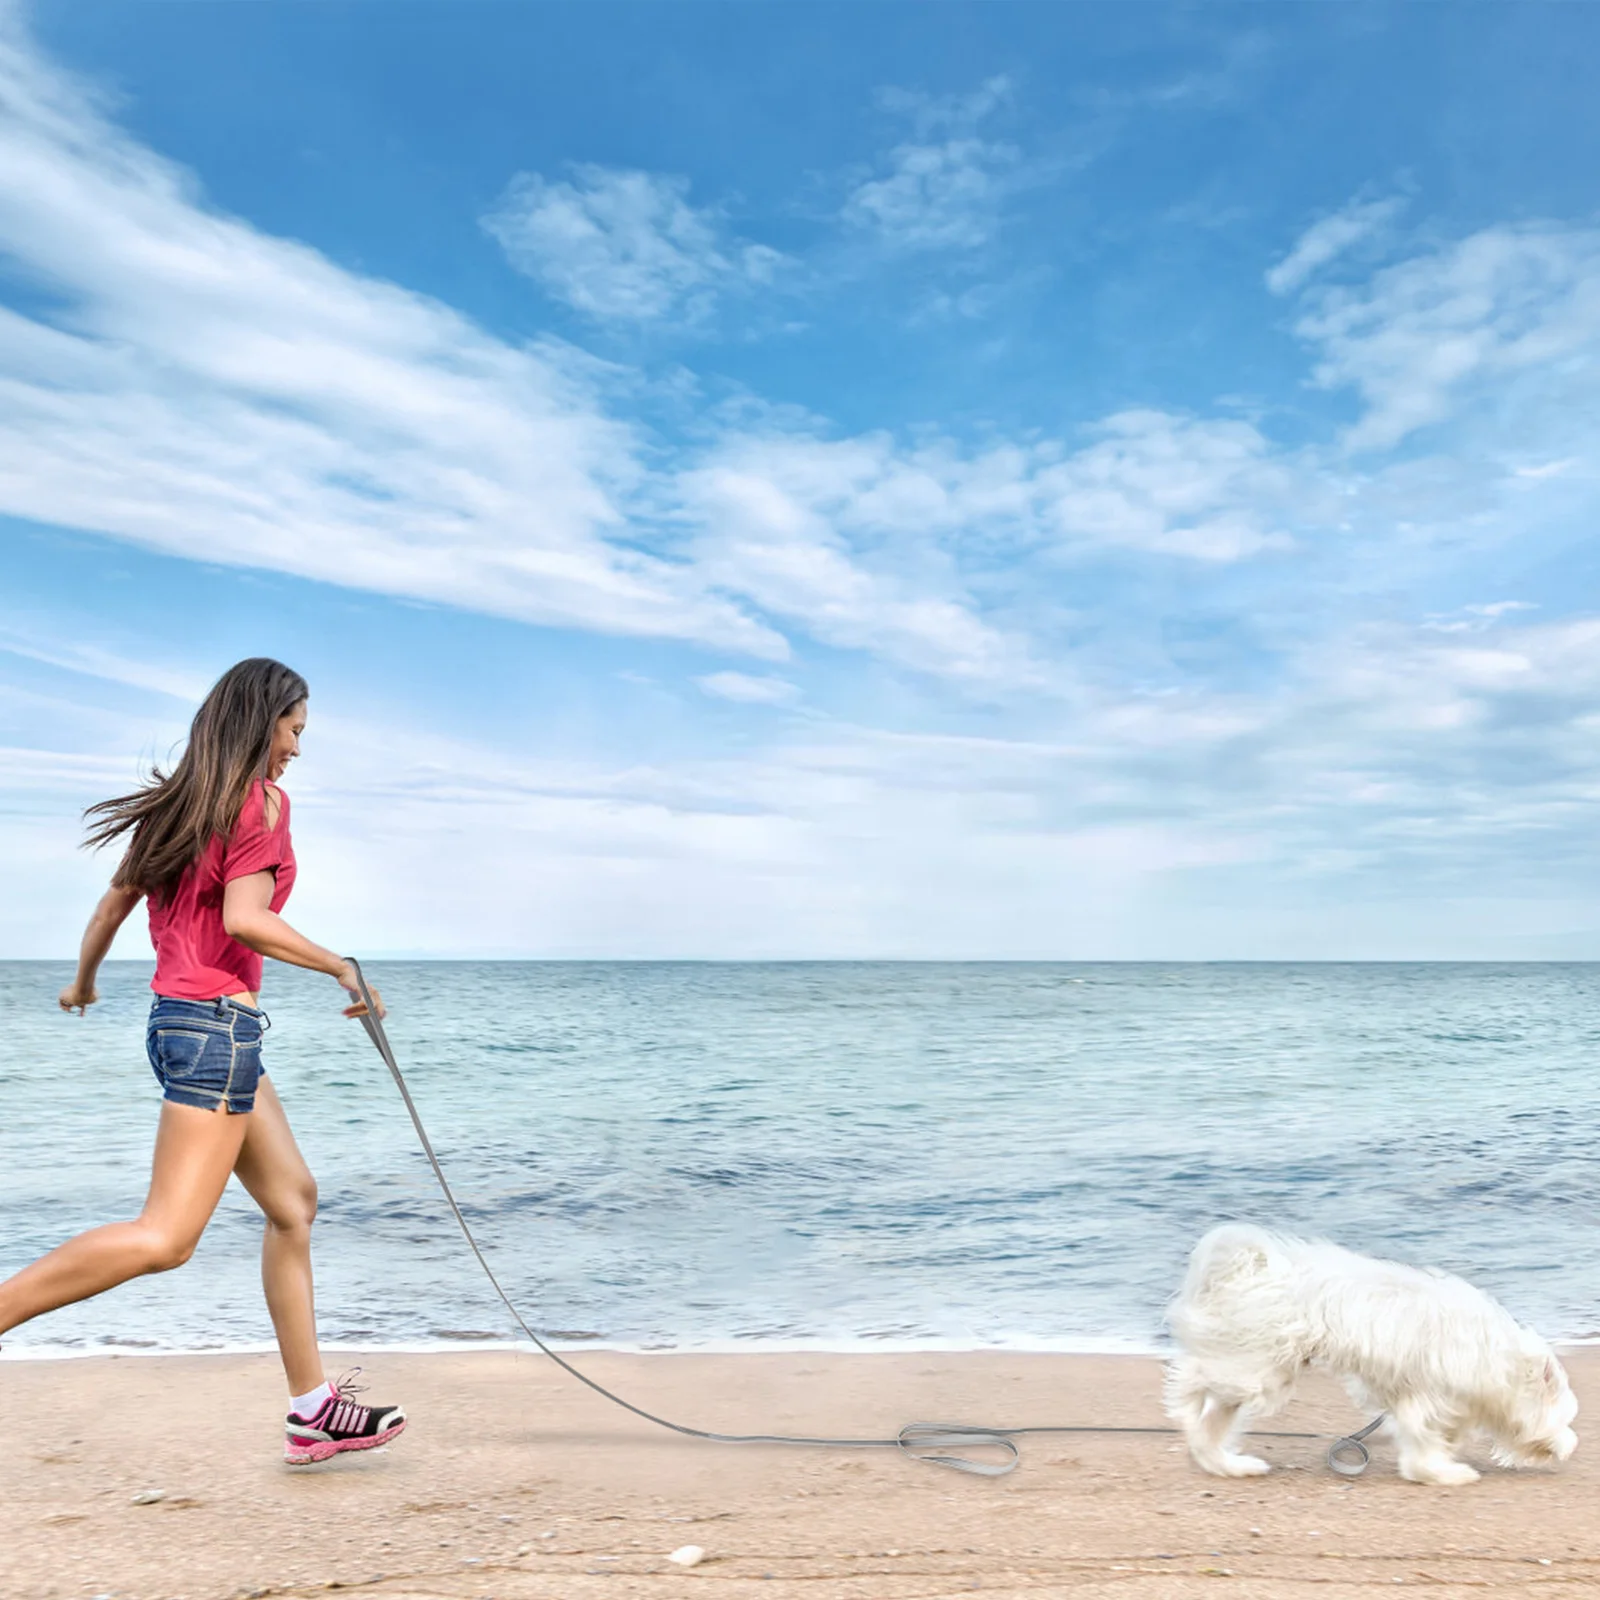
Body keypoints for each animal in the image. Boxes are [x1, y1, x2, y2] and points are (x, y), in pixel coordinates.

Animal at [1164, 1222, 1574, 1484]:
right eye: (1566, 1418)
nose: (1573, 1445)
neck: (1500, 1360)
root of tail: (1254, 1267)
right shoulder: (1430, 1397)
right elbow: (1426, 1438)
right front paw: (1443, 1473)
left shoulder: (1428, 1399)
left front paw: (1433, 1466)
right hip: (1257, 1369)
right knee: (1194, 1375)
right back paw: (1183, 1400)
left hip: (1254, 1365)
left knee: (1209, 1425)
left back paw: (1228, 1464)